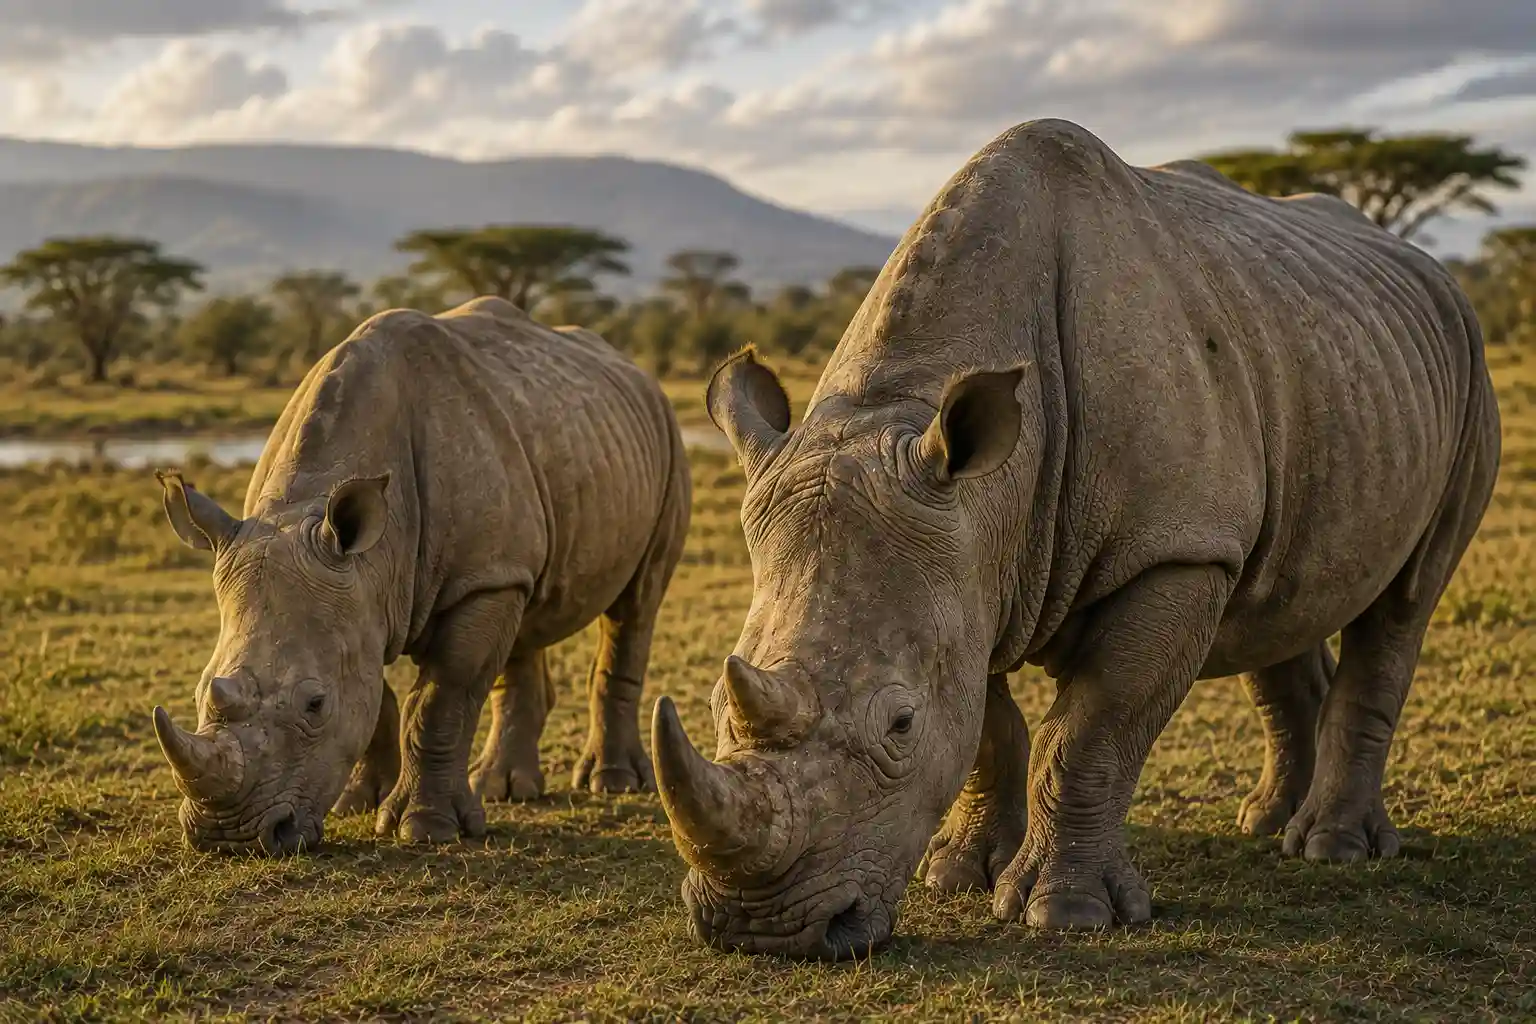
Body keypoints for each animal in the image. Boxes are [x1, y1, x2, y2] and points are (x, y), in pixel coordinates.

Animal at [152, 296, 691, 853]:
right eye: (199, 692)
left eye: (315, 705)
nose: (228, 837)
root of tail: (636, 370)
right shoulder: (361, 592)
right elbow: (375, 693)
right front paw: (359, 801)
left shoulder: (471, 579)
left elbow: (440, 696)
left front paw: (426, 828)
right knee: (527, 611)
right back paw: (503, 790)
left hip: (665, 442)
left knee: (636, 604)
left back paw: (612, 782)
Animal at [652, 119, 1502, 959]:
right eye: (714, 707)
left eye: (900, 725)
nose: (759, 930)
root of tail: (1427, 271)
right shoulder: (966, 561)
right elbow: (985, 723)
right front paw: (958, 874)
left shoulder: (1170, 550)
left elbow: (1093, 727)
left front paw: (1063, 913)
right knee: (1277, 591)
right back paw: (1266, 823)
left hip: (1466, 368)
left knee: (1405, 600)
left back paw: (1332, 848)